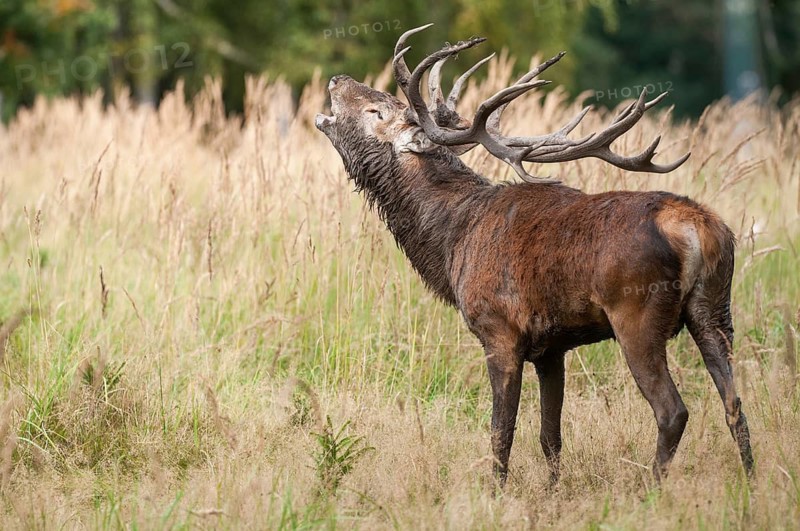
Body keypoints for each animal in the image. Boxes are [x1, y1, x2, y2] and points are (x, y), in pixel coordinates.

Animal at [314, 24, 754, 487]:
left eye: (377, 110)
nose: (337, 79)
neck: (452, 241)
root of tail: (698, 227)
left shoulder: (499, 331)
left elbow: (500, 432)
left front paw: (495, 492)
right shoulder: (551, 347)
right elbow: (550, 435)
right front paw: (553, 490)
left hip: (637, 314)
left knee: (673, 411)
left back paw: (652, 487)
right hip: (714, 310)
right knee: (734, 402)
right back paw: (751, 481)